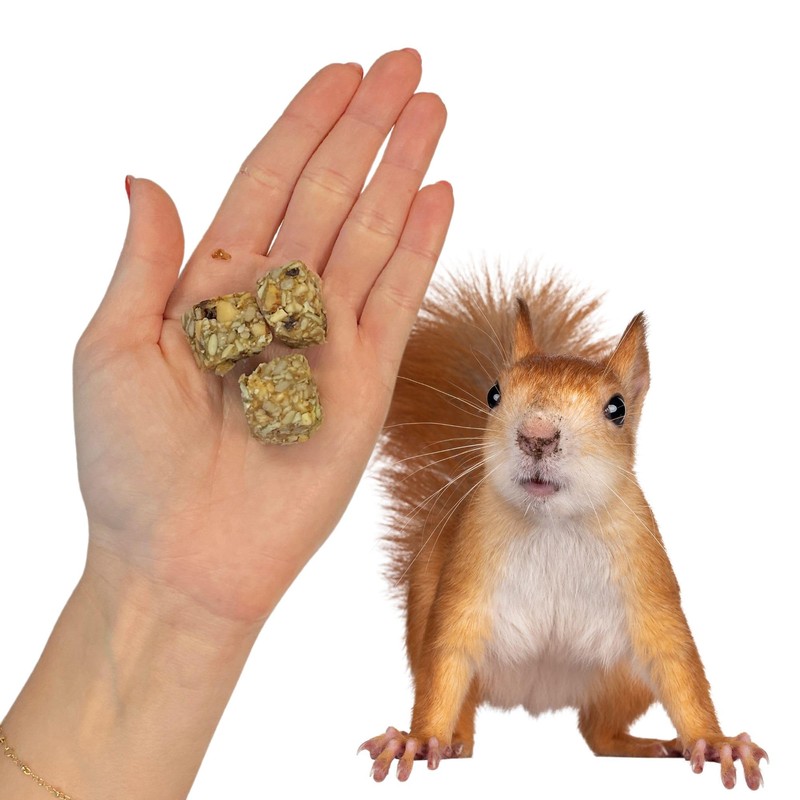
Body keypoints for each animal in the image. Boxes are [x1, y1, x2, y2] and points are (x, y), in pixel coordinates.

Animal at [358, 266, 767, 789]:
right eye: (493, 394)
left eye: (617, 408)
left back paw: (650, 745)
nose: (536, 435)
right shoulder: (466, 581)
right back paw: (449, 743)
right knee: (465, 719)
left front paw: (714, 742)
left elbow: (677, 663)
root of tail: (539, 694)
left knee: (599, 732)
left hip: (623, 680)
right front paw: (419, 738)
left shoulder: (648, 579)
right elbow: (448, 656)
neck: (552, 524)